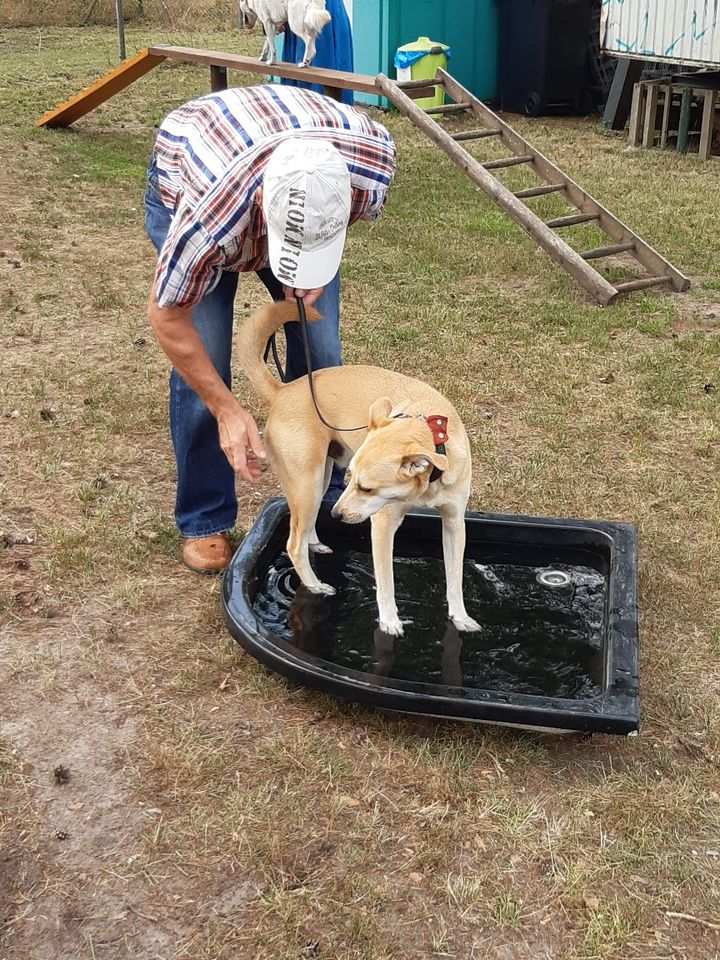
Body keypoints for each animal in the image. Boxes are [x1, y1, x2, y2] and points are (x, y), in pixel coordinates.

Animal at [239, 304, 480, 636]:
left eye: (366, 487)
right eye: (354, 480)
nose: (337, 515)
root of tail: (283, 390)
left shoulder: (455, 522)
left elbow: (454, 580)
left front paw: (460, 617)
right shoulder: (383, 525)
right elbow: (386, 583)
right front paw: (390, 621)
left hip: (320, 478)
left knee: (305, 529)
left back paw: (316, 542)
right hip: (307, 483)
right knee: (293, 543)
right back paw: (315, 585)